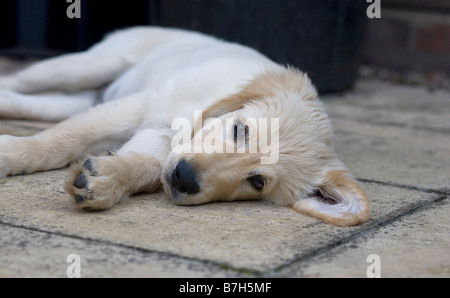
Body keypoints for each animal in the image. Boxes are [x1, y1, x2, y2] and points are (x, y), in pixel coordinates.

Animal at [0, 26, 370, 226]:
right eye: (240, 130)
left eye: (257, 182)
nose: (184, 179)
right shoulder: (140, 105)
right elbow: (65, 138)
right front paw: (12, 153)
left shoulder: (157, 139)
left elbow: (145, 165)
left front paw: (105, 181)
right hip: (86, 66)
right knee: (21, 80)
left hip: (82, 95)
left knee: (32, 102)